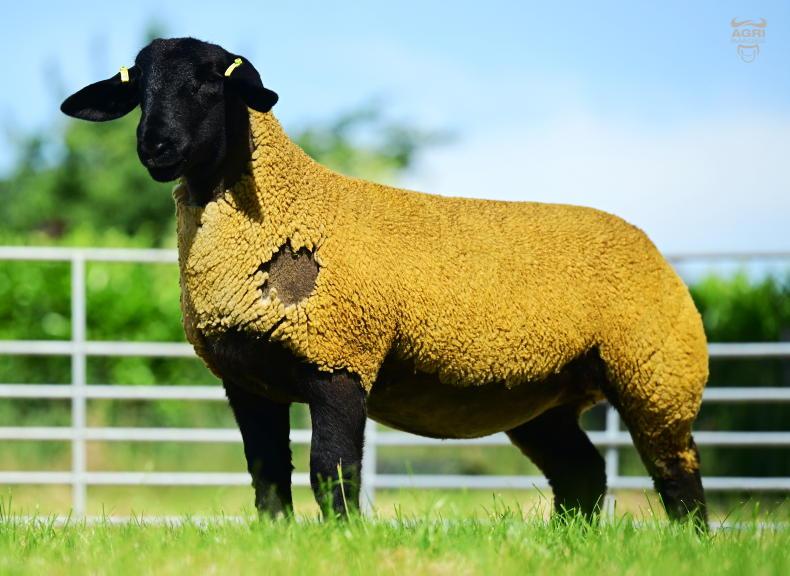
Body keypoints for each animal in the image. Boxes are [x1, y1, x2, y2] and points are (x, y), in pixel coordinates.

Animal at [61, 37, 709, 528]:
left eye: (209, 84)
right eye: (138, 88)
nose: (155, 147)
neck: (289, 208)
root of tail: (650, 246)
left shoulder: (341, 359)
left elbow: (332, 470)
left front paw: (342, 540)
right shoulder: (248, 379)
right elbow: (267, 475)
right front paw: (278, 541)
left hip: (655, 371)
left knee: (676, 474)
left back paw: (690, 544)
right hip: (541, 395)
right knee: (582, 473)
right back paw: (567, 542)